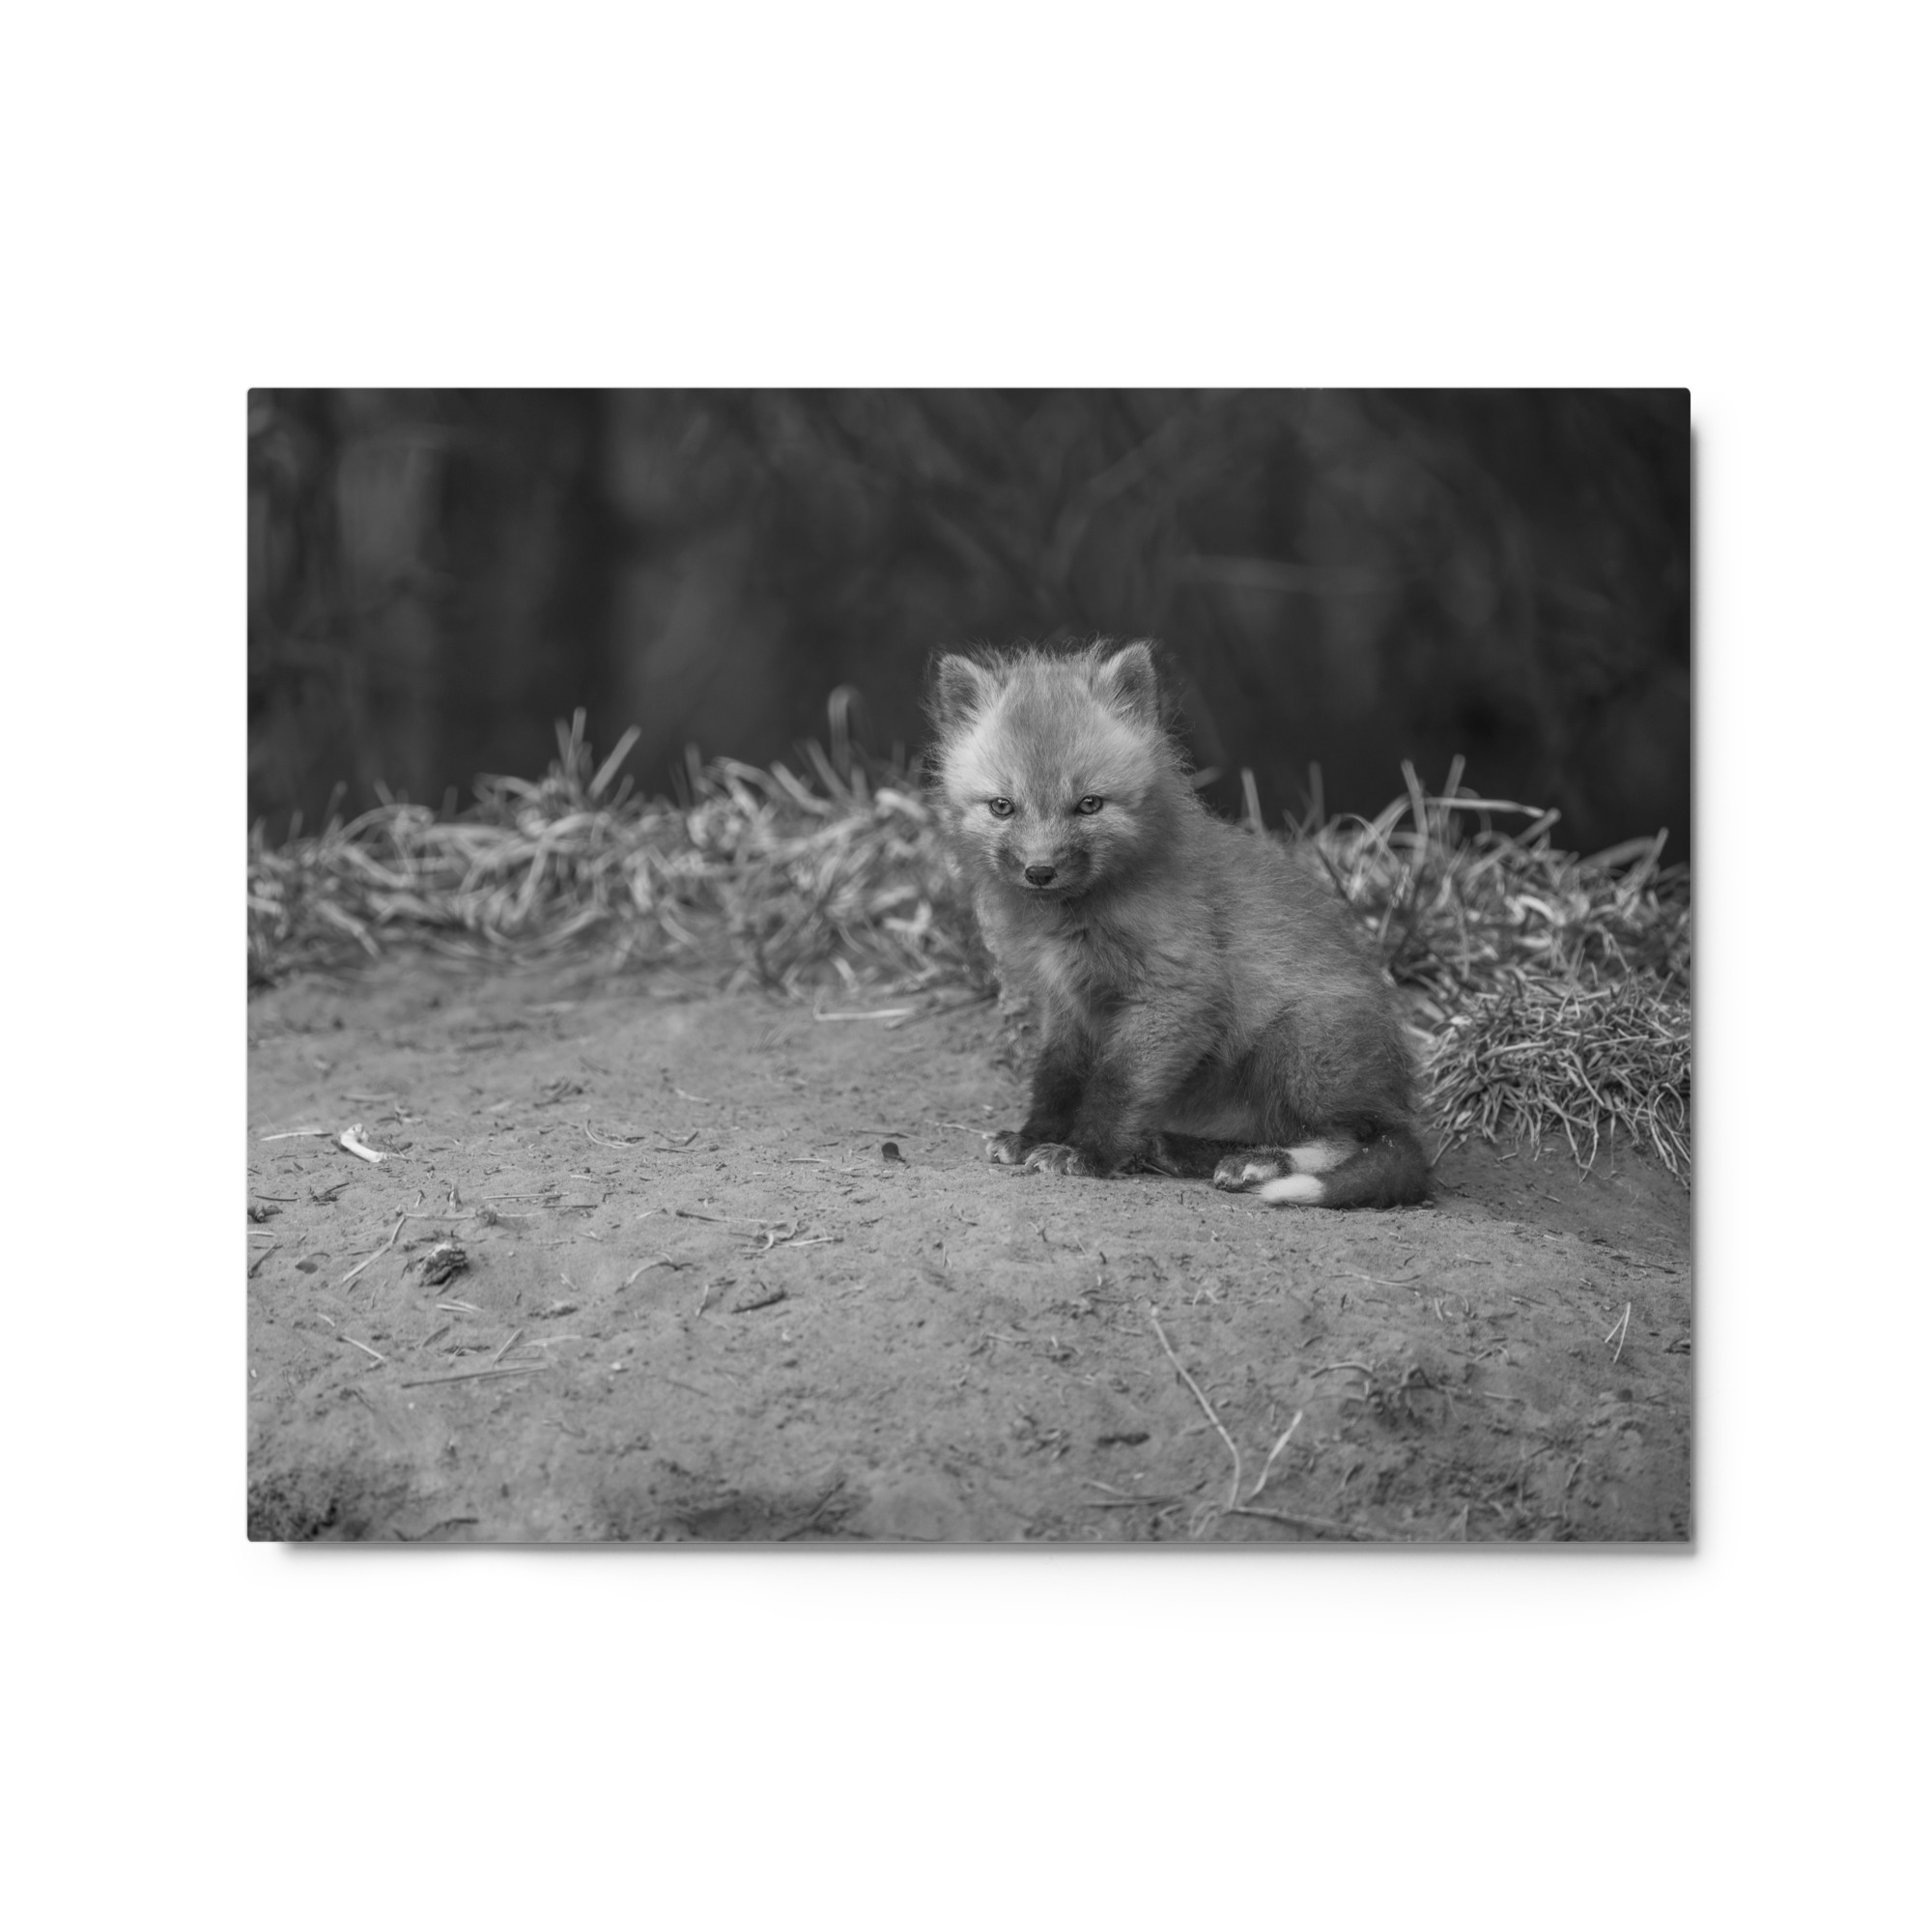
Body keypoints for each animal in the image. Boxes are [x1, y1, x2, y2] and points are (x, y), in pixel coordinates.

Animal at [927, 638, 1428, 1209]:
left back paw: (1258, 1164)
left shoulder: (1175, 994)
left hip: (1298, 1045)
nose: (1040, 871)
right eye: (1002, 806)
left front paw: (1087, 1154)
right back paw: (1179, 1149)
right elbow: (1056, 1078)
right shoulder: (1067, 1003)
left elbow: (1116, 1085)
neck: (1076, 920)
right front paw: (1035, 1136)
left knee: (1352, 1139)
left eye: (1089, 804)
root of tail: (1397, 1097)